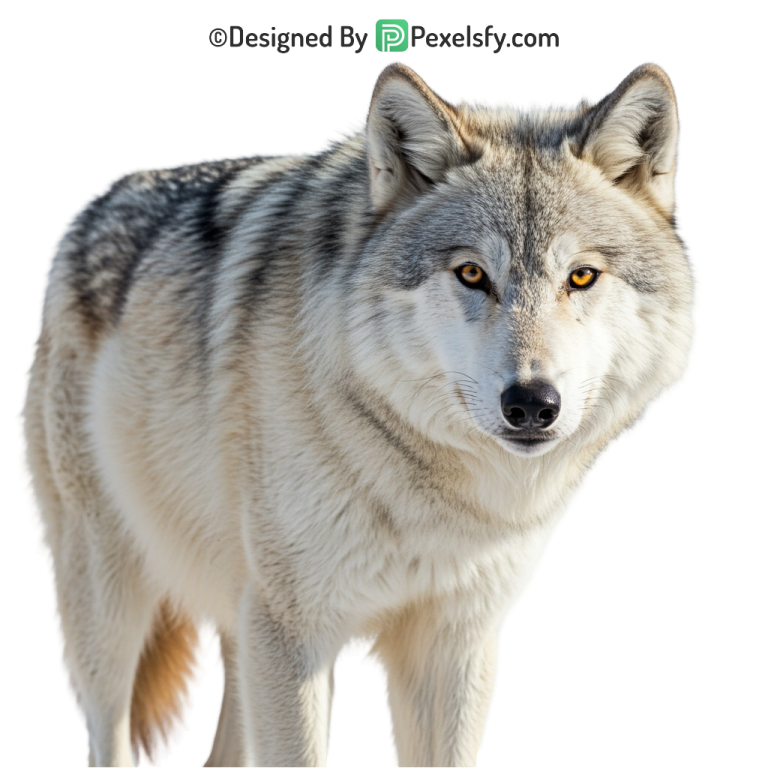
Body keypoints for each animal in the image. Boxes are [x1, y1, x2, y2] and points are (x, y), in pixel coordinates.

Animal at [17, 60, 700, 767]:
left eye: (582, 277)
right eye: (472, 274)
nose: (532, 404)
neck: (428, 495)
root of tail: (96, 199)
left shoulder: (455, 645)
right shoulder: (293, 636)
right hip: (111, 618)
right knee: (111, 737)